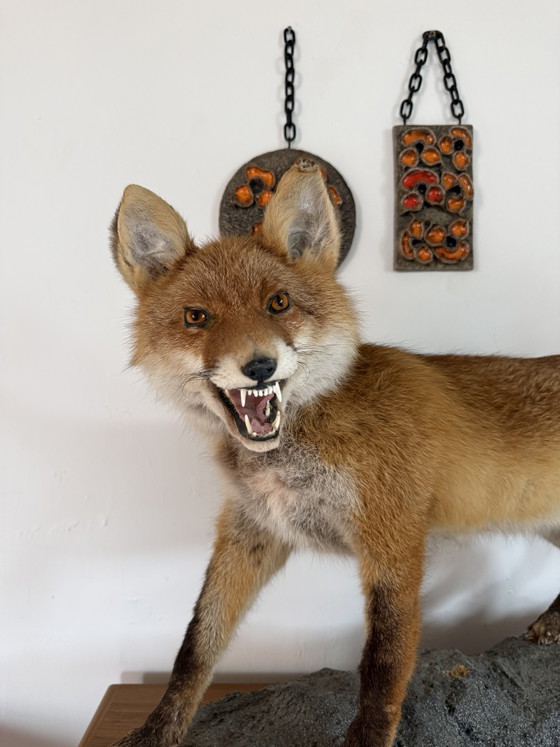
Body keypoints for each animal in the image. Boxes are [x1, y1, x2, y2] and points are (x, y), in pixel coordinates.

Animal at [110, 158, 560, 747]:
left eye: (278, 303)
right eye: (197, 317)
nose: (259, 366)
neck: (295, 455)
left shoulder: (395, 541)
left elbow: (383, 665)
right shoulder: (253, 531)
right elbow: (196, 645)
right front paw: (159, 729)